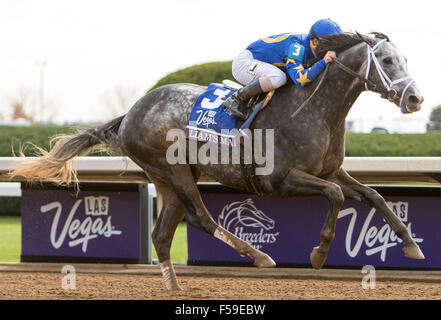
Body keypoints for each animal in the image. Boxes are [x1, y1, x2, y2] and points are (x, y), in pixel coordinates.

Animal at [9, 31, 422, 290]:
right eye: (387, 60)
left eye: (404, 58)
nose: (415, 98)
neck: (315, 106)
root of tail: (130, 113)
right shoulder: (282, 179)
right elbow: (335, 196)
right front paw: (319, 254)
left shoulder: (331, 170)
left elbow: (374, 195)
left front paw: (410, 244)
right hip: (172, 169)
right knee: (200, 218)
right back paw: (258, 255)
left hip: (167, 176)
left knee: (162, 234)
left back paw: (174, 286)